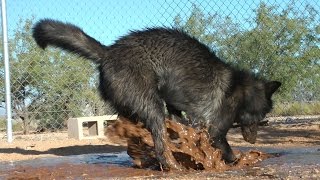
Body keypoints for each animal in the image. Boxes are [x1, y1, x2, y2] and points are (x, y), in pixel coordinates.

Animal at [31, 19, 278, 170]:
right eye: (262, 115)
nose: (253, 140)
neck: (241, 89)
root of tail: (108, 52)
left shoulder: (183, 110)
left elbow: (183, 125)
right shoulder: (215, 132)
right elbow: (226, 150)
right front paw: (236, 160)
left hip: (134, 109)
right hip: (152, 107)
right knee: (160, 146)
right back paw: (173, 167)